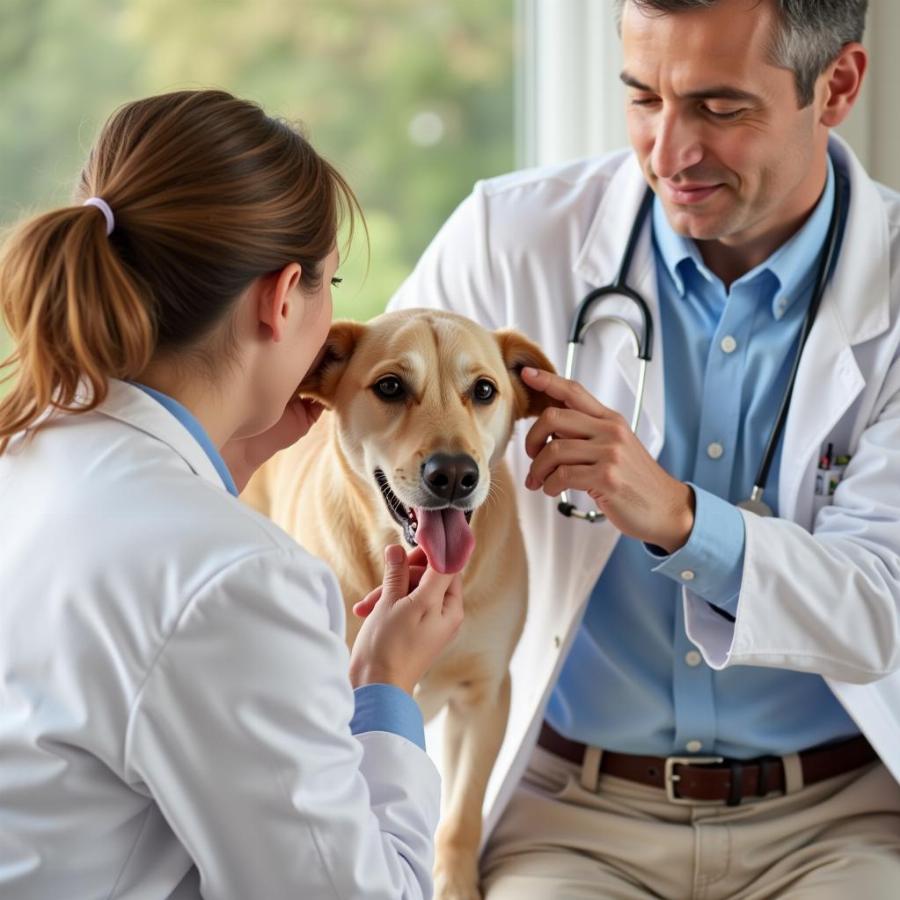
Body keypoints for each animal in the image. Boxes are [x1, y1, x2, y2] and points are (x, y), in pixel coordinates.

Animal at [243, 312, 552, 900]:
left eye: (484, 390)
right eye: (390, 386)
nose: (453, 475)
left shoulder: (484, 696)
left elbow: (462, 813)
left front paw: (455, 883)